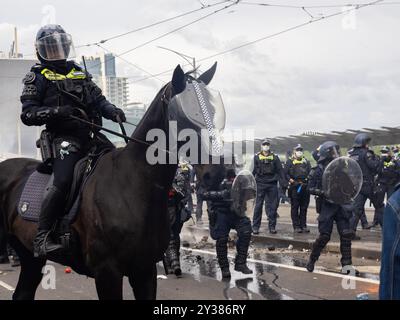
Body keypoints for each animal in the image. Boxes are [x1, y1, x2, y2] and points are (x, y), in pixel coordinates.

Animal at [0, 63, 219, 300]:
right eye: (181, 112)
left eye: (213, 110)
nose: (215, 171)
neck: (134, 184)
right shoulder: (107, 273)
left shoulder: (145, 271)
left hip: (30, 256)